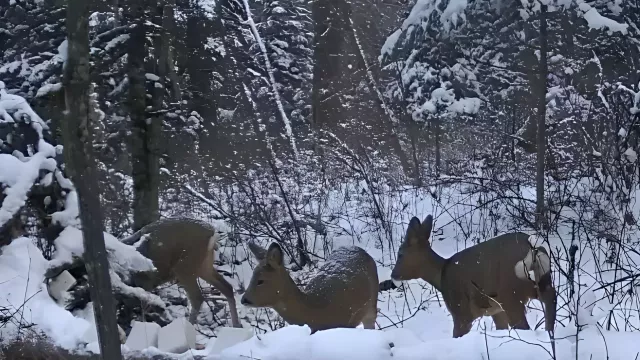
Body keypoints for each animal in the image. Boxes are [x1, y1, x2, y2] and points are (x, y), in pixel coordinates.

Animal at [390, 214, 556, 338]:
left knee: (523, 324)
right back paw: (550, 334)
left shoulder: (461, 309)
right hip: (541, 280)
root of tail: (533, 246)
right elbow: (501, 327)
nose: (393, 275)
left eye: (400, 254)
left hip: (510, 292)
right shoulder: (495, 311)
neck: (441, 275)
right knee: (550, 298)